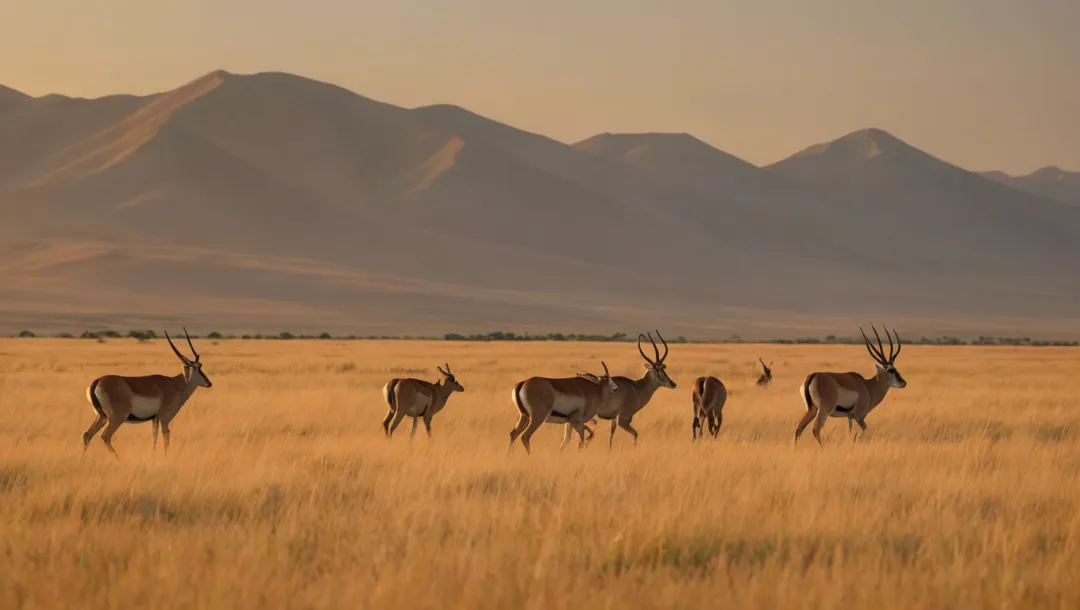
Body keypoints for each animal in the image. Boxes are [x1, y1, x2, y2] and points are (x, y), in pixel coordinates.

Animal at [82, 326, 212, 453]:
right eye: (198, 367)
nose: (209, 383)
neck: (174, 384)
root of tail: (97, 382)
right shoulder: (165, 418)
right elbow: (166, 437)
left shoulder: (155, 419)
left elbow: (154, 437)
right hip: (117, 417)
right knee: (105, 436)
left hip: (102, 417)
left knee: (87, 434)